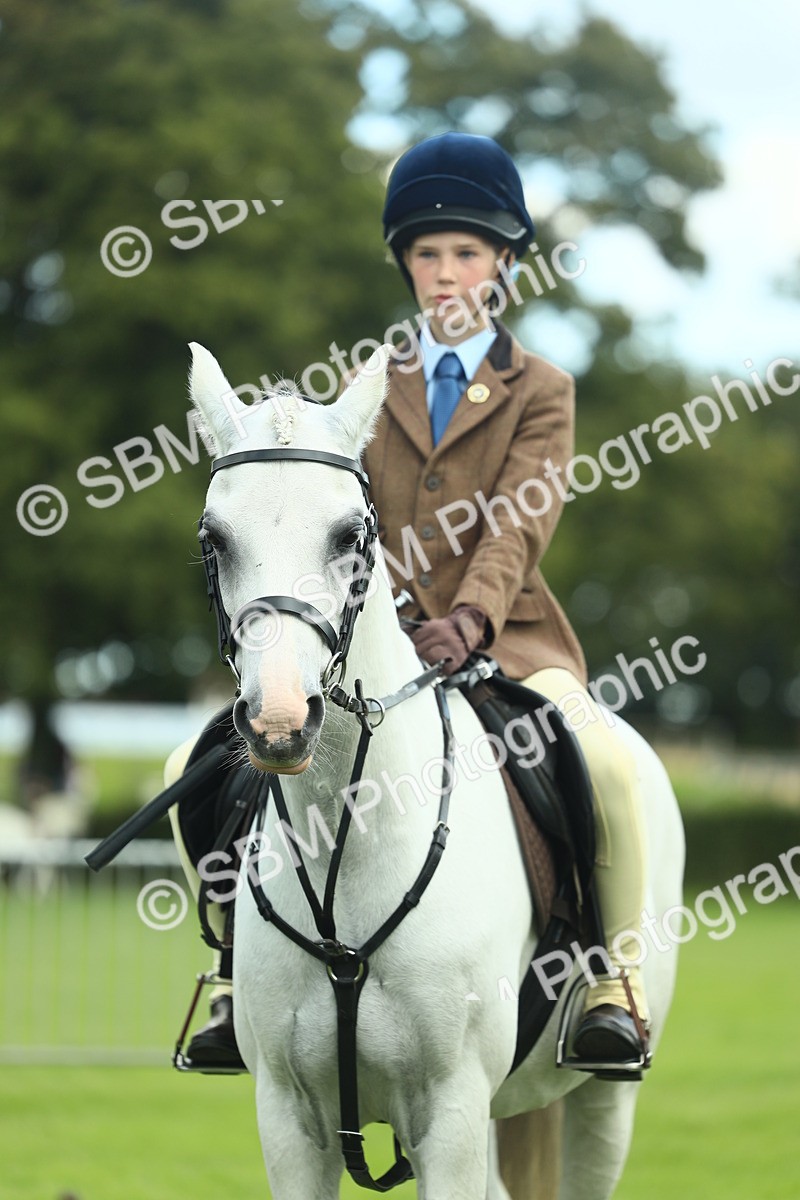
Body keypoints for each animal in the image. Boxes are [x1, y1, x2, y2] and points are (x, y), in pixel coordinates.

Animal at [187, 340, 685, 1200]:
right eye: (215, 538)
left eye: (350, 535)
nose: (279, 721)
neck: (349, 848)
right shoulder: (289, 1120)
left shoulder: (450, 1115)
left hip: (598, 1103)